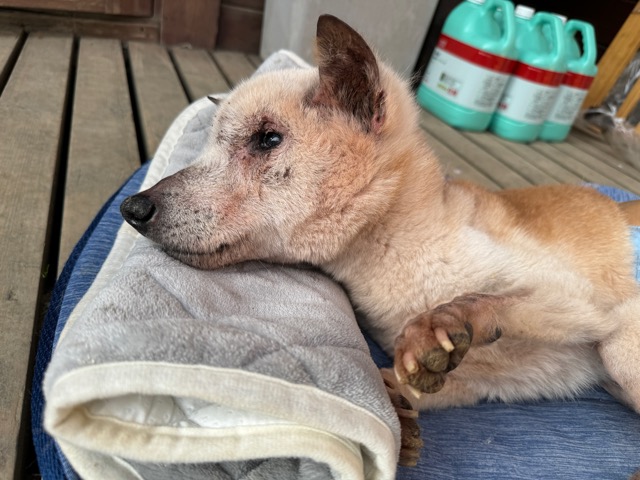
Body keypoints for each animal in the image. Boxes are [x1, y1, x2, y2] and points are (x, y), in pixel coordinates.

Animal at [121, 14, 640, 466]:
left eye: (267, 139)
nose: (132, 208)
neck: (386, 251)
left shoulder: (586, 303)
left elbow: (489, 298)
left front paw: (444, 320)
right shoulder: (483, 382)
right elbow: (407, 379)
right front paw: (399, 406)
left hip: (620, 358)